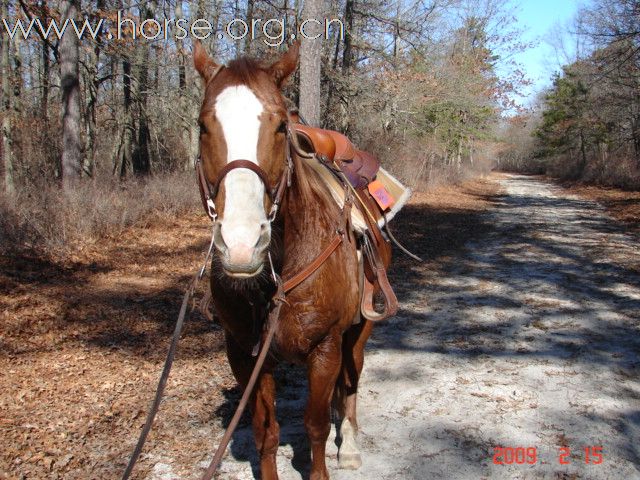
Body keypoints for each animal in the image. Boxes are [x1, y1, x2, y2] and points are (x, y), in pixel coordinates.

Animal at [195, 42, 376, 480]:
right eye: (203, 126)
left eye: (279, 128)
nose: (241, 244)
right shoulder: (245, 355)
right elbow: (266, 432)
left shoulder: (325, 350)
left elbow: (315, 426)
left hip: (357, 335)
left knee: (351, 384)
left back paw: (350, 445)